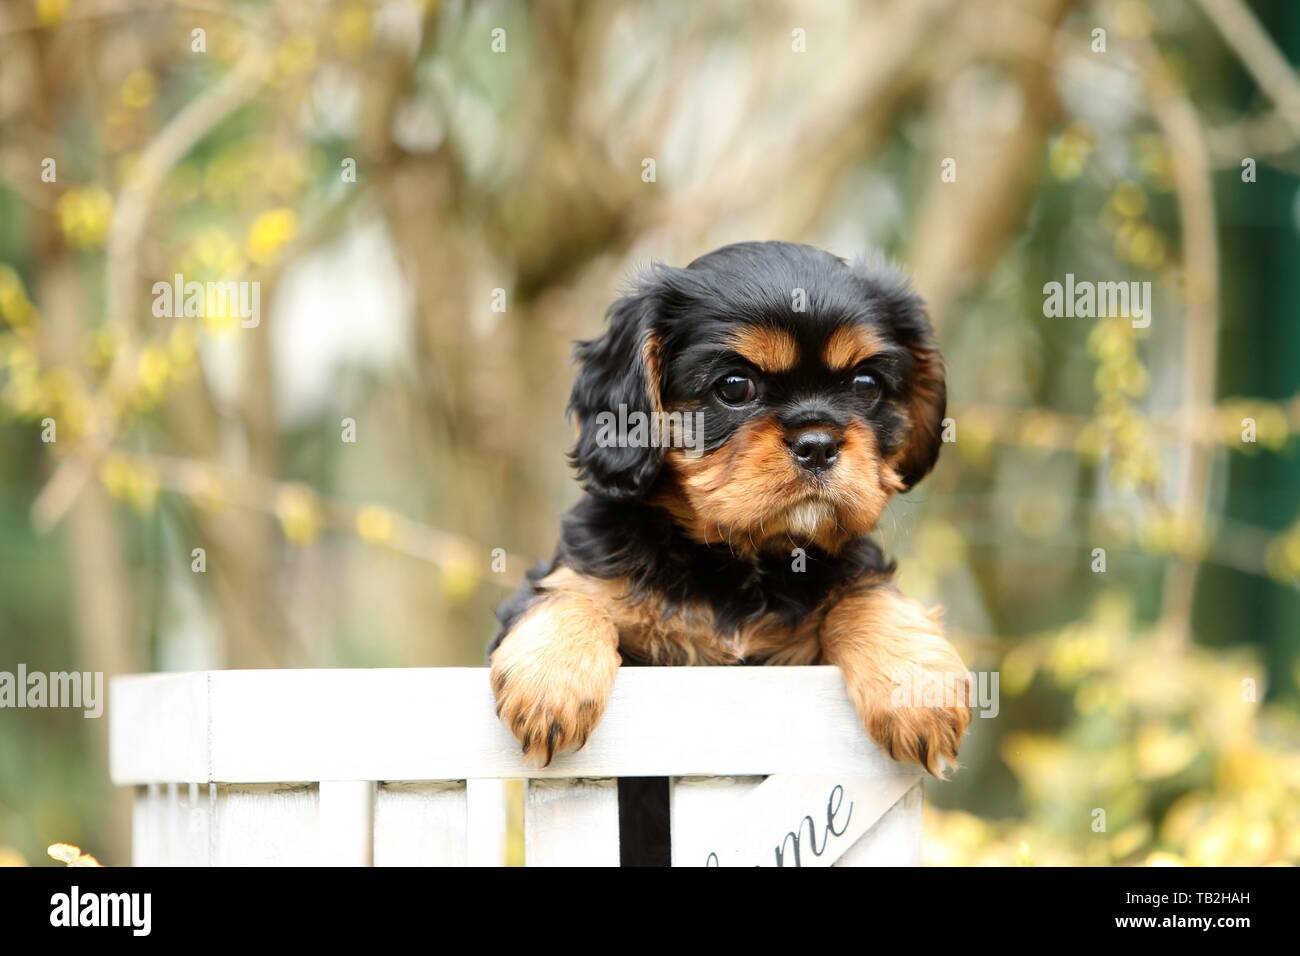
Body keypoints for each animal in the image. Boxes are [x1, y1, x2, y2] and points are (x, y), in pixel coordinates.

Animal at [488, 239, 967, 780]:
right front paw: (552, 682)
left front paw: (917, 688)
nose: (818, 444)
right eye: (735, 387)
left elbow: (865, 594)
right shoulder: (581, 574)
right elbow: (571, 594)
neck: (741, 558)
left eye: (866, 385)